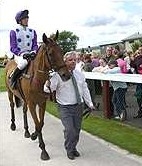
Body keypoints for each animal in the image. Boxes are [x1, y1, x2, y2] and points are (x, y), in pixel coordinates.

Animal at [4, 30, 71, 160]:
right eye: (50, 54)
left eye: (61, 51)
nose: (66, 75)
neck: (36, 79)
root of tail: (9, 62)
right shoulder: (32, 103)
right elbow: (38, 124)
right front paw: (43, 150)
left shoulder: (42, 102)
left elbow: (41, 123)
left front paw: (34, 135)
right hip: (10, 93)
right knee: (12, 106)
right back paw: (13, 125)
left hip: (24, 99)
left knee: (24, 110)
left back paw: (26, 131)